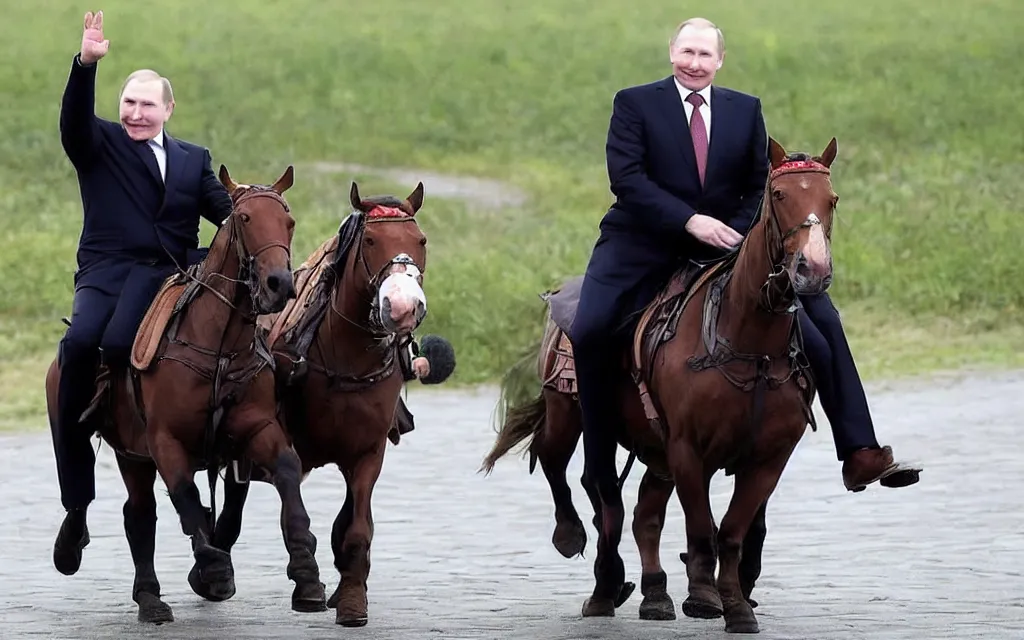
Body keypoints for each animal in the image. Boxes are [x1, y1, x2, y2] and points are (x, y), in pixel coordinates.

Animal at [41, 165, 323, 622]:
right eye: (245, 219)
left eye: (289, 221)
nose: (278, 284)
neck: (218, 344)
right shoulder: (165, 440)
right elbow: (186, 496)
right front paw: (213, 568)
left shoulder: (257, 427)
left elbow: (285, 471)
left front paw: (305, 569)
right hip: (105, 435)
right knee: (95, 495)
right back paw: (78, 552)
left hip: (132, 455)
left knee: (138, 515)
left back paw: (149, 596)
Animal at [196, 178, 432, 622]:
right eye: (371, 240)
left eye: (421, 239)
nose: (403, 307)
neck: (346, 358)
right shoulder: (280, 442)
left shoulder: (367, 452)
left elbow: (357, 525)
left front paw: (352, 597)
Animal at [483, 137, 843, 630]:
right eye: (779, 195)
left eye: (832, 200)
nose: (813, 269)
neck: (748, 343)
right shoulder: (687, 449)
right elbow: (701, 529)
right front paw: (705, 596)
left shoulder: (769, 458)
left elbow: (731, 531)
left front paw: (734, 606)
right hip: (571, 414)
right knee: (573, 473)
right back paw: (589, 561)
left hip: (651, 448)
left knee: (639, 513)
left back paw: (652, 592)